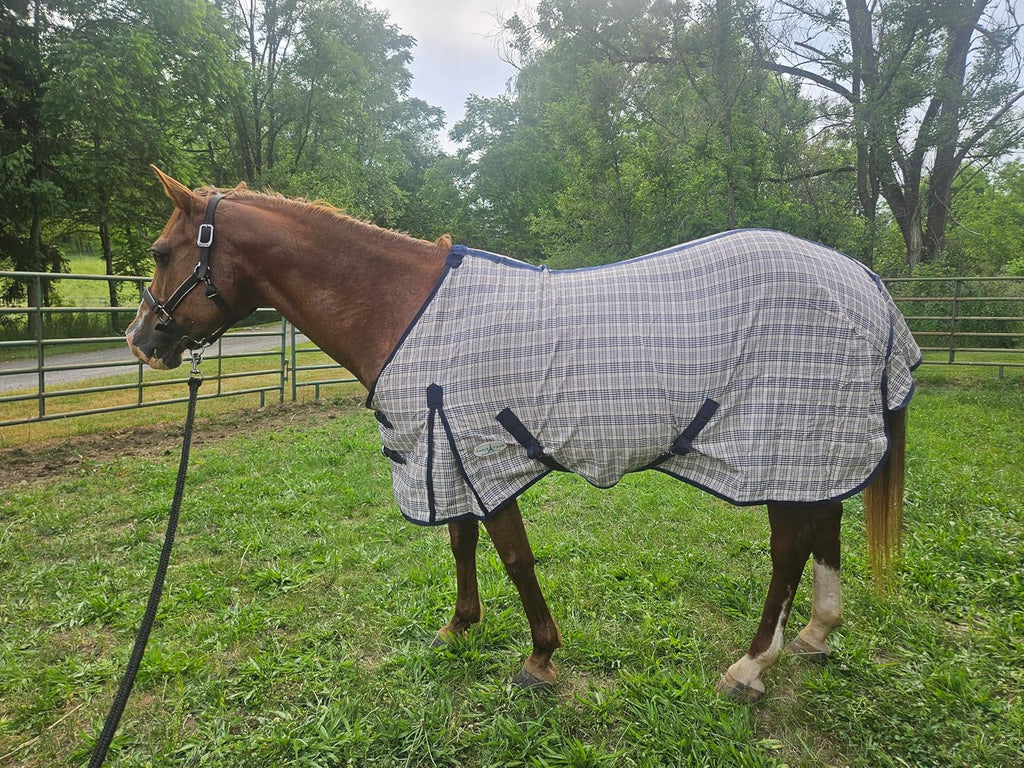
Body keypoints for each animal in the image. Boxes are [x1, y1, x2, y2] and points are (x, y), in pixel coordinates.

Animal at [127, 167, 921, 702]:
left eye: (162, 252)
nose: (141, 341)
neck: (402, 306)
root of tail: (866, 282)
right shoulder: (450, 448)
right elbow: (461, 541)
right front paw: (459, 627)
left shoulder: (479, 450)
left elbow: (513, 555)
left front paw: (540, 658)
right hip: (814, 449)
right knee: (826, 527)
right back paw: (816, 635)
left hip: (780, 446)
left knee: (789, 551)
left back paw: (751, 666)